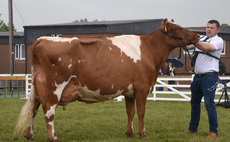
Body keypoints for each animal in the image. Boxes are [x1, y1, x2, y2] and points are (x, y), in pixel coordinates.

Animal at [14, 18, 199, 141]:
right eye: (176, 28)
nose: (197, 36)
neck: (148, 50)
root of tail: (43, 39)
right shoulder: (142, 87)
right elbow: (141, 112)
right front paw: (142, 133)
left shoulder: (130, 91)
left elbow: (130, 112)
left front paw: (129, 133)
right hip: (54, 87)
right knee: (48, 111)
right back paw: (53, 137)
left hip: (37, 87)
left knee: (33, 108)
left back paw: (29, 135)